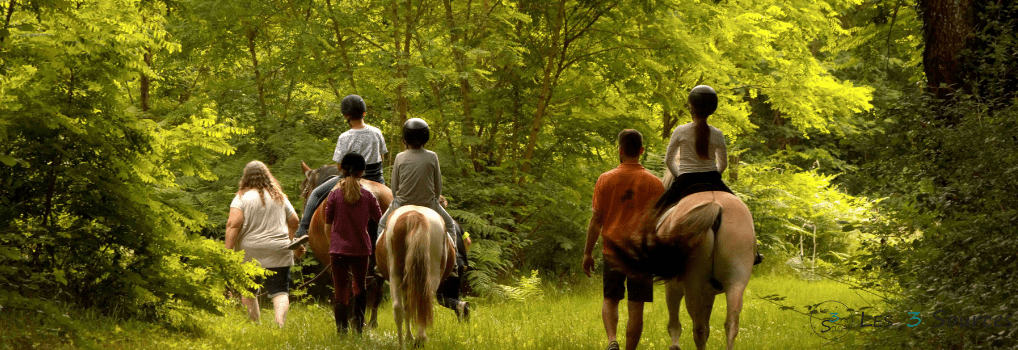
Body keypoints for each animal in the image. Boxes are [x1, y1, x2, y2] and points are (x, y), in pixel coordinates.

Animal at [374, 205, 454, 343]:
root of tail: (415, 215)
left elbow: (408, 308)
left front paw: (409, 337)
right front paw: (410, 337)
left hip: (396, 275)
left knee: (398, 308)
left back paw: (402, 344)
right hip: (431, 276)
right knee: (421, 303)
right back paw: (420, 339)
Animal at [602, 187, 757, 347]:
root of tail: (716, 205)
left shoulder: (672, 289)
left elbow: (674, 326)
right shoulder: (708, 293)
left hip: (692, 285)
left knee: (699, 329)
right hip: (736, 281)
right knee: (731, 325)